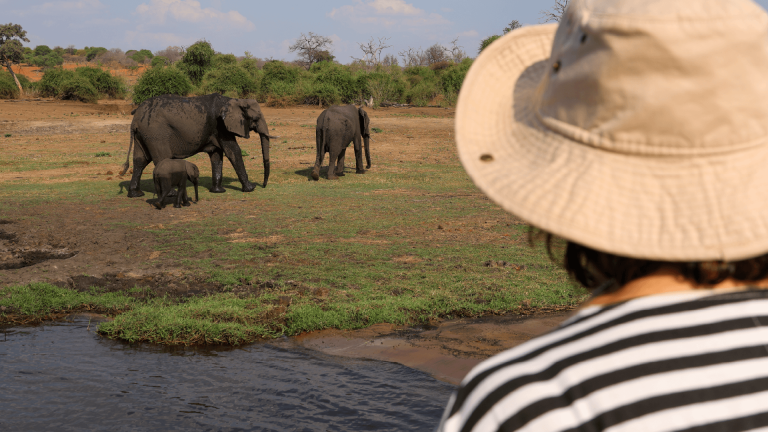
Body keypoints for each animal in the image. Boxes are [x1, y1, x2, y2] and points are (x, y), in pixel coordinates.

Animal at [120, 93, 275, 198]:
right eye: (256, 118)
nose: (263, 185)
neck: (235, 100)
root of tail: (135, 117)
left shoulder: (217, 129)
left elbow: (217, 155)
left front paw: (218, 191)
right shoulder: (221, 126)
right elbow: (233, 151)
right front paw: (250, 188)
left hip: (143, 134)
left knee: (140, 160)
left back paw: (136, 194)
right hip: (156, 133)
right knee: (162, 159)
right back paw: (171, 194)